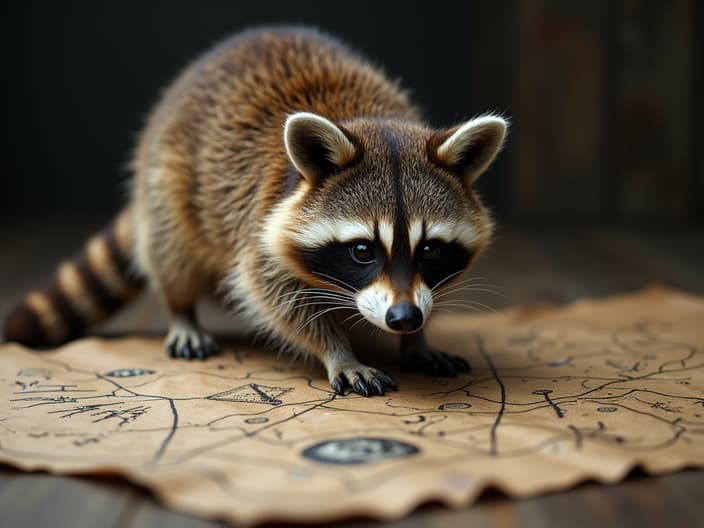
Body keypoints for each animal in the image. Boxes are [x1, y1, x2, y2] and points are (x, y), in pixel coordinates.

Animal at [1, 25, 506, 396]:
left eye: (430, 250)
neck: (374, 121)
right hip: (166, 178)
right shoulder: (260, 222)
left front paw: (417, 339)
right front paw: (338, 350)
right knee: (171, 251)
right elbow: (274, 296)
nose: (404, 318)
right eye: (363, 250)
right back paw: (181, 309)